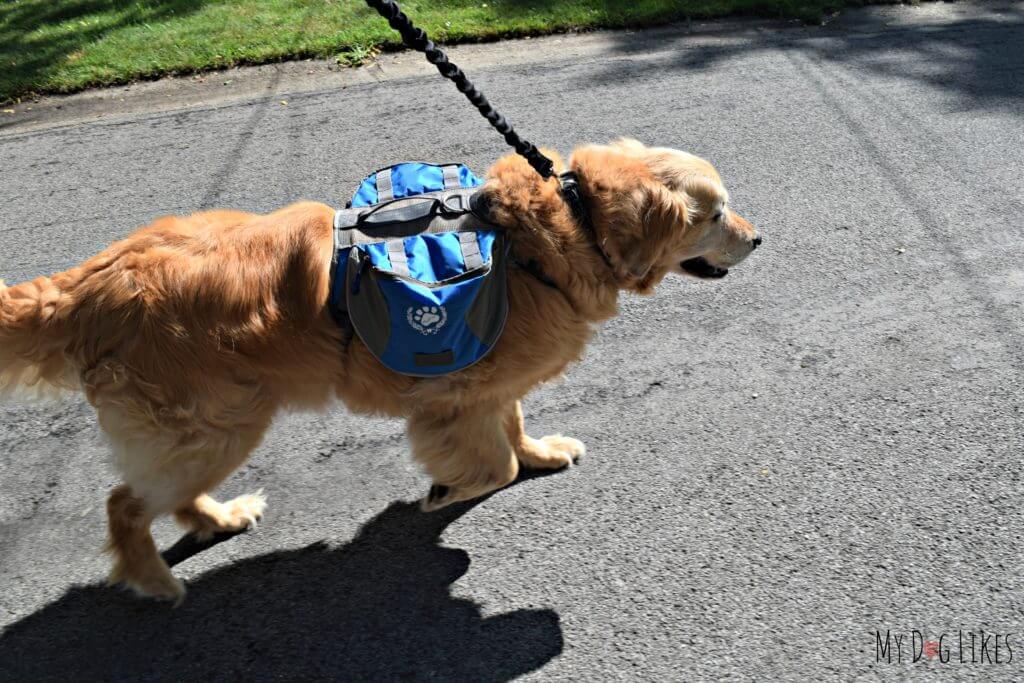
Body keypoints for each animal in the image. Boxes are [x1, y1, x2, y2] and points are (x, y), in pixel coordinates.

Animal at [0, 140, 757, 602]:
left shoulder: (493, 377)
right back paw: (154, 581)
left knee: (162, 496)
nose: (758, 237)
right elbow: (493, 465)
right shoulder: (451, 397)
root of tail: (92, 284)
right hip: (212, 426)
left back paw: (219, 517)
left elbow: (514, 427)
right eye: (715, 213)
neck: (569, 226)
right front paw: (444, 490)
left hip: (213, 428)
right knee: (124, 504)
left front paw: (540, 452)